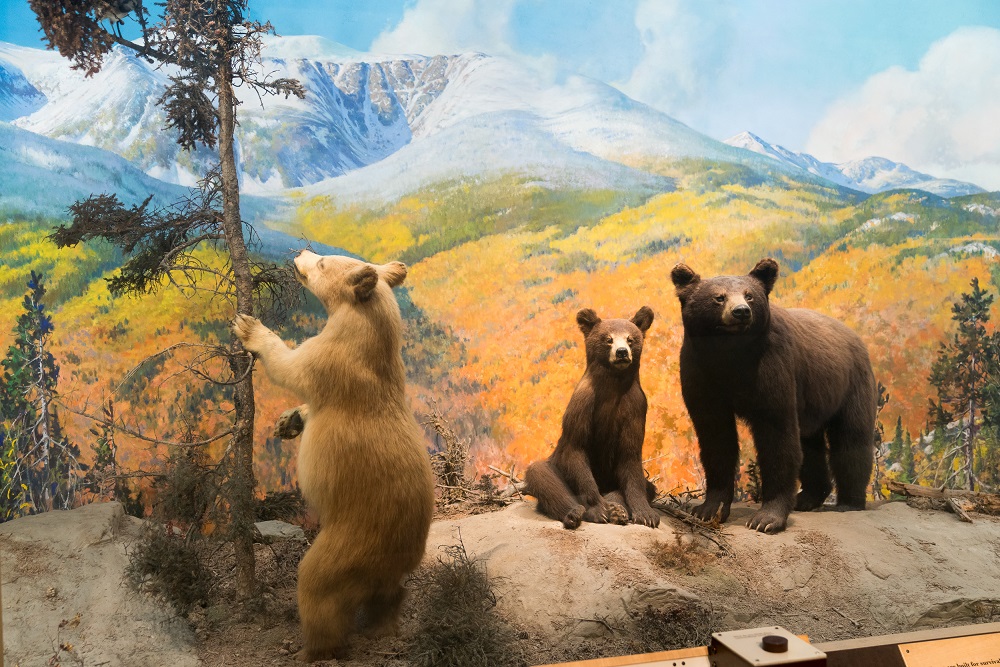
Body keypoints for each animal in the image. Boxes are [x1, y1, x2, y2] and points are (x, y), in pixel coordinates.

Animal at [231, 249, 435, 661]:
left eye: (324, 261)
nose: (300, 253)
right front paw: (289, 420)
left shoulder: (331, 358)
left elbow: (292, 367)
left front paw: (248, 326)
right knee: (390, 594)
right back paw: (380, 626)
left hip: (347, 546)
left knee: (318, 589)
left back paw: (311, 649)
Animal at [523, 306, 660, 529]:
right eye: (608, 338)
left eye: (630, 339)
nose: (622, 352)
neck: (613, 387)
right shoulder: (584, 403)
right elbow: (576, 447)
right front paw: (599, 510)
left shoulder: (635, 407)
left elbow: (631, 457)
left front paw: (646, 514)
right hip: (555, 464)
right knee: (541, 474)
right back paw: (575, 512)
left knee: (646, 486)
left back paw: (617, 508)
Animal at [670, 258, 876, 534]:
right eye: (718, 297)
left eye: (750, 295)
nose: (741, 311)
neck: (729, 354)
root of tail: (855, 336)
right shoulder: (700, 373)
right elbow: (716, 439)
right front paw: (708, 509)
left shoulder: (771, 368)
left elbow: (778, 438)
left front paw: (766, 518)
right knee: (811, 445)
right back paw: (808, 497)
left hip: (850, 385)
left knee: (851, 439)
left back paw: (849, 501)